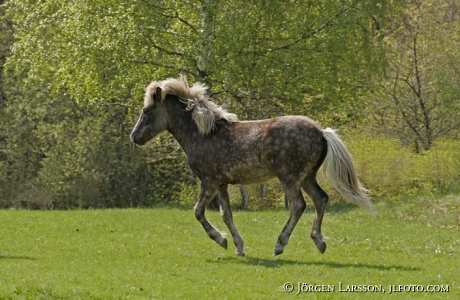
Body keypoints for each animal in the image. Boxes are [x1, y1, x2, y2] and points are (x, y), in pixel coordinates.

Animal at [129, 76, 374, 256]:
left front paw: (221, 240)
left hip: (290, 177)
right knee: (321, 199)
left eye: (146, 110)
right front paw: (238, 247)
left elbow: (198, 211)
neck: (203, 134)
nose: (134, 136)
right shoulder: (222, 184)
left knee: (298, 205)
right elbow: (226, 214)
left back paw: (280, 245)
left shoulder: (209, 181)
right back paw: (319, 241)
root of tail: (322, 132)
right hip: (307, 177)